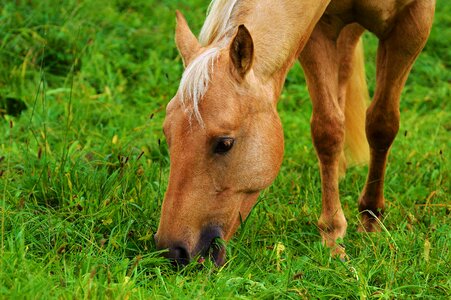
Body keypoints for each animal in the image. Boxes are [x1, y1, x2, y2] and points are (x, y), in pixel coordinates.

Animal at [154, 0, 434, 266]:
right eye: (168, 135)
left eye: (225, 143)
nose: (173, 252)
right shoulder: (318, 30)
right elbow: (328, 128)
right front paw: (333, 234)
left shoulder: (413, 22)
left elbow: (382, 124)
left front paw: (371, 219)